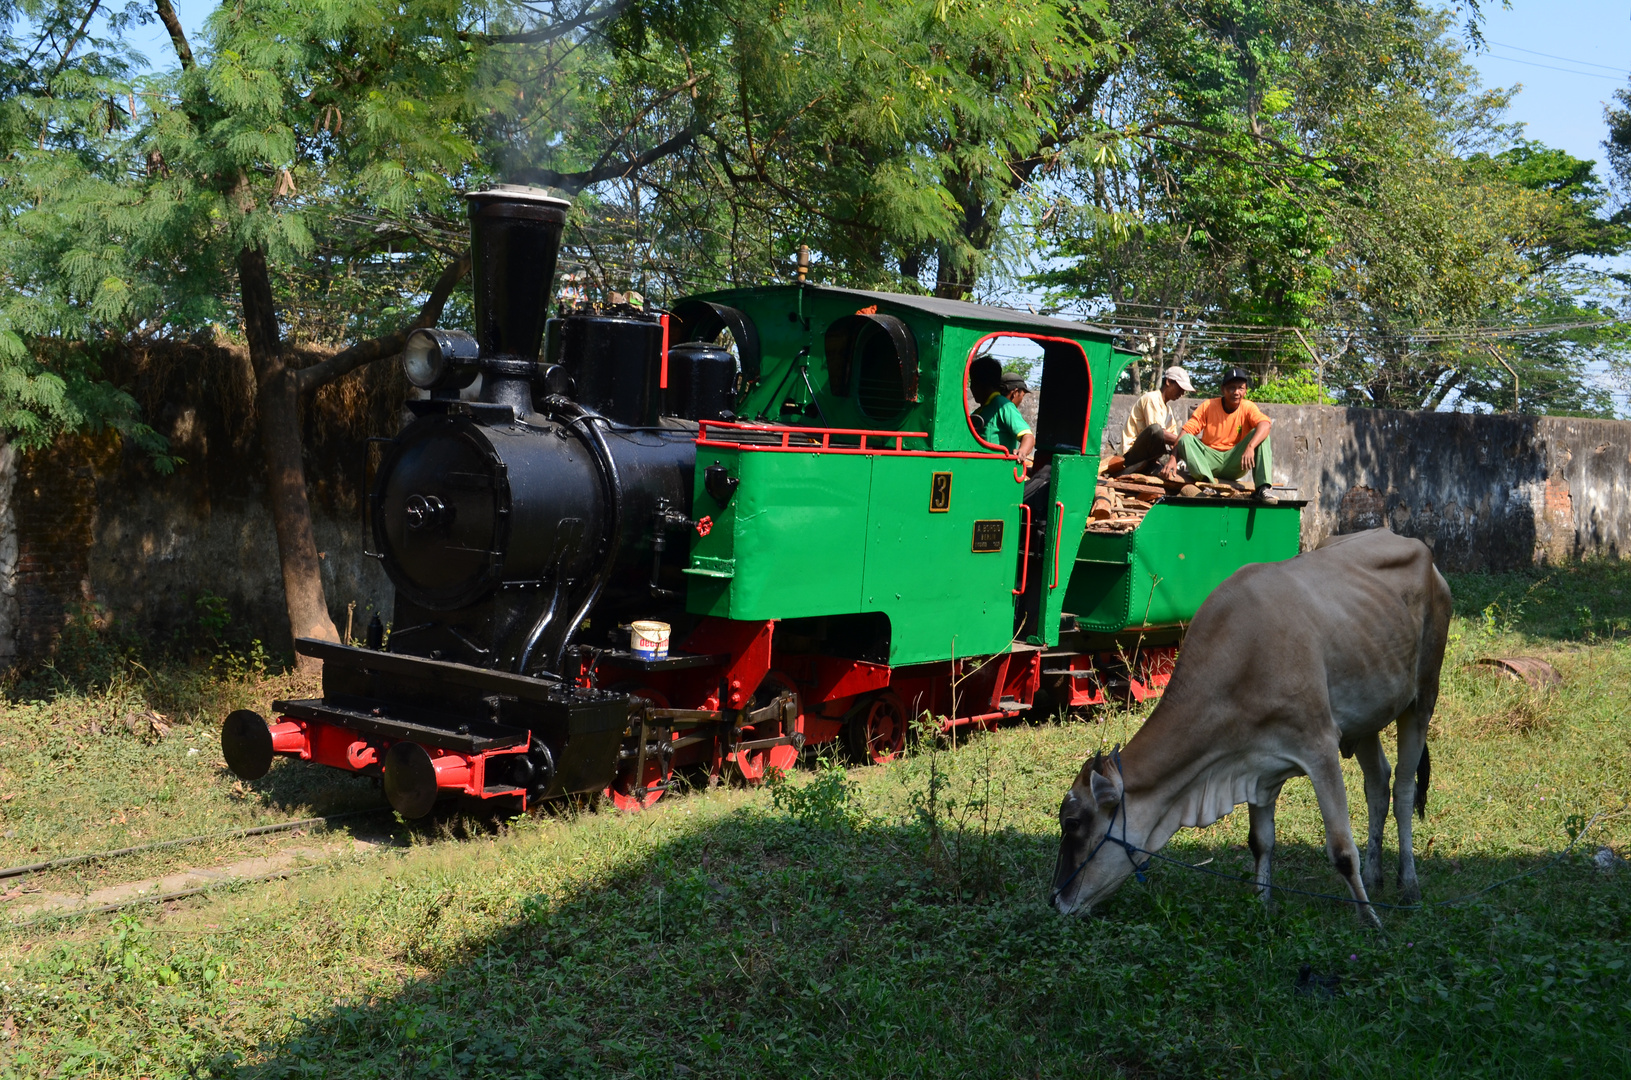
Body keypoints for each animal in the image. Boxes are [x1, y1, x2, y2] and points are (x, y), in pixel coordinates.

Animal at [1056, 528, 1454, 926]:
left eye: (1072, 823)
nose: (1056, 900)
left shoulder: (1319, 746)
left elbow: (1342, 849)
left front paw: (1371, 920)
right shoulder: (1256, 763)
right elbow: (1260, 841)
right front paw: (1262, 904)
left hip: (1423, 698)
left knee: (1404, 788)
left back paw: (1408, 885)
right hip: (1367, 715)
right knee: (1378, 784)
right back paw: (1374, 876)